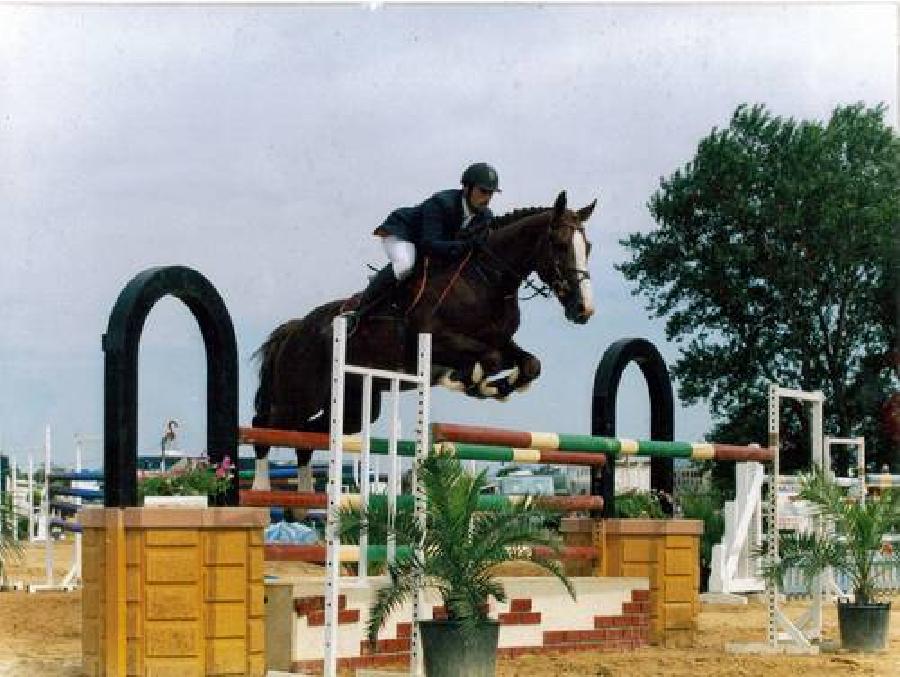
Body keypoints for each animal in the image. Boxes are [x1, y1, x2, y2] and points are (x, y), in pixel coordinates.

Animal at [250, 190, 596, 492]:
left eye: (588, 246)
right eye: (559, 244)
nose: (584, 309)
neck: (486, 278)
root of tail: (296, 328)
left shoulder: (499, 340)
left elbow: (530, 363)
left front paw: (498, 386)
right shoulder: (437, 340)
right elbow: (489, 359)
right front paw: (467, 381)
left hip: (353, 404)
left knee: (307, 436)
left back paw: (303, 497)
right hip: (297, 397)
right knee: (265, 426)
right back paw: (261, 489)